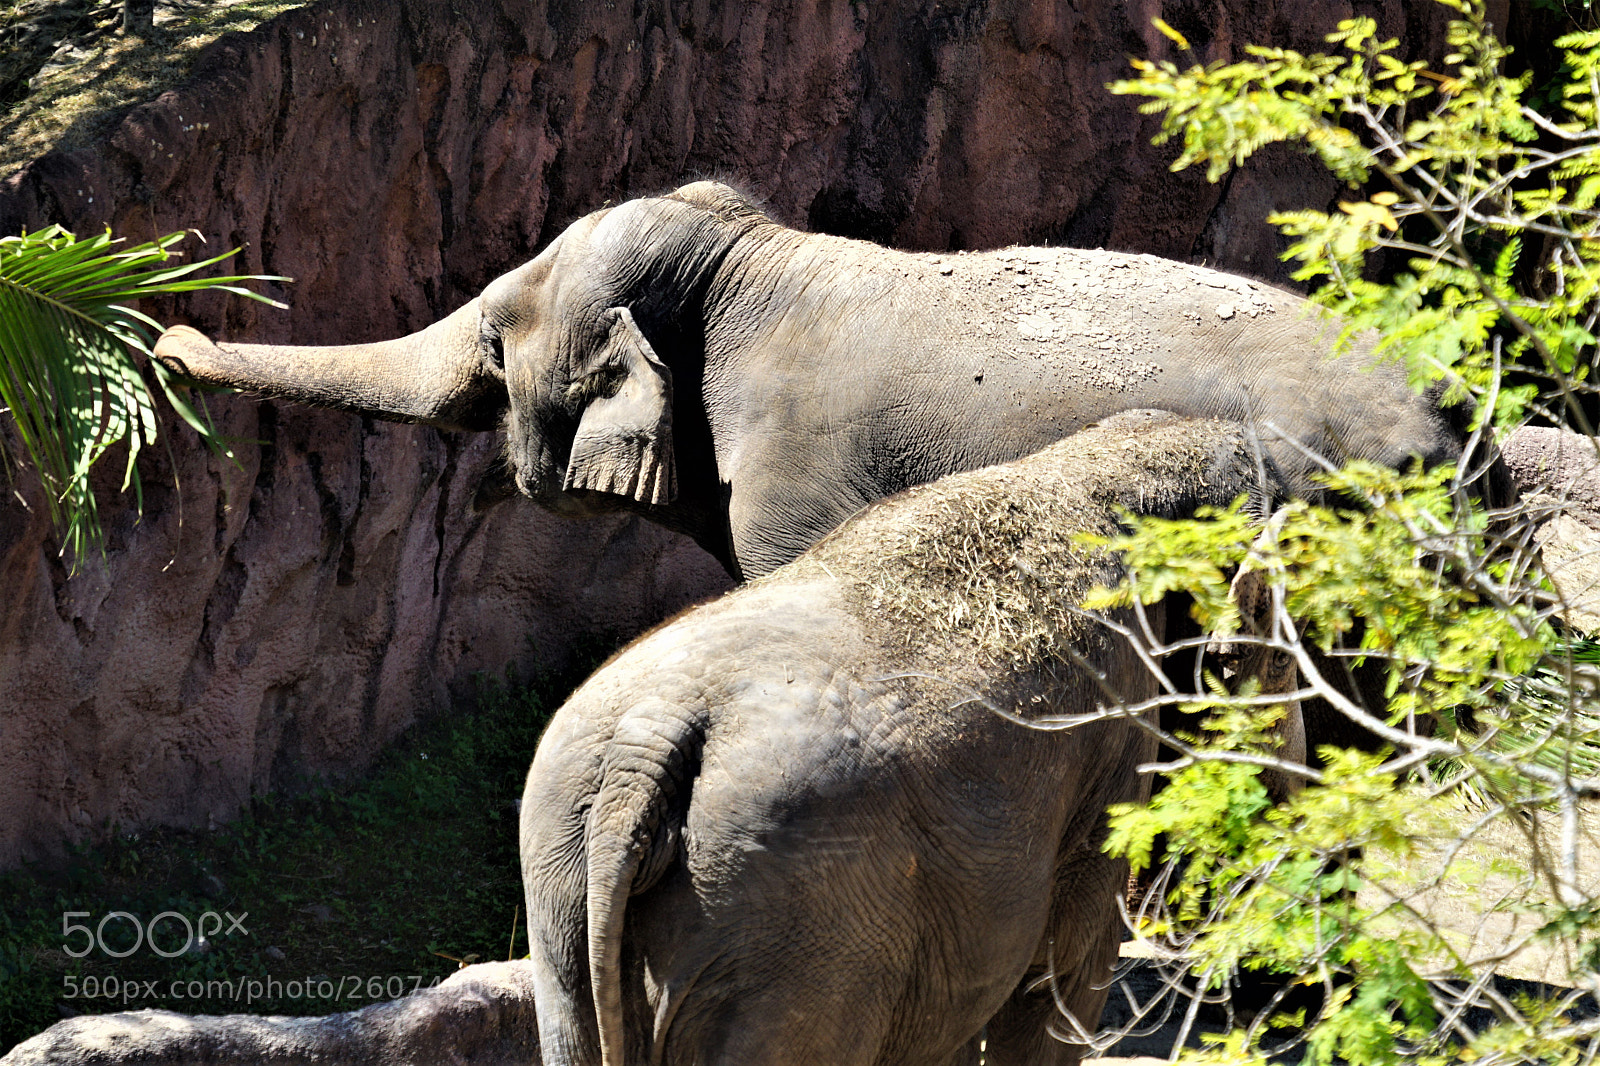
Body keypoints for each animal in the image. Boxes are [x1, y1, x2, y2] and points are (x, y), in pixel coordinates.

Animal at [2, 413, 1300, 1065]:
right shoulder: (1106, 756)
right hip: (797, 927)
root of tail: (646, 749)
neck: (1094, 462)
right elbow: (1059, 977)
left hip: (568, 876)